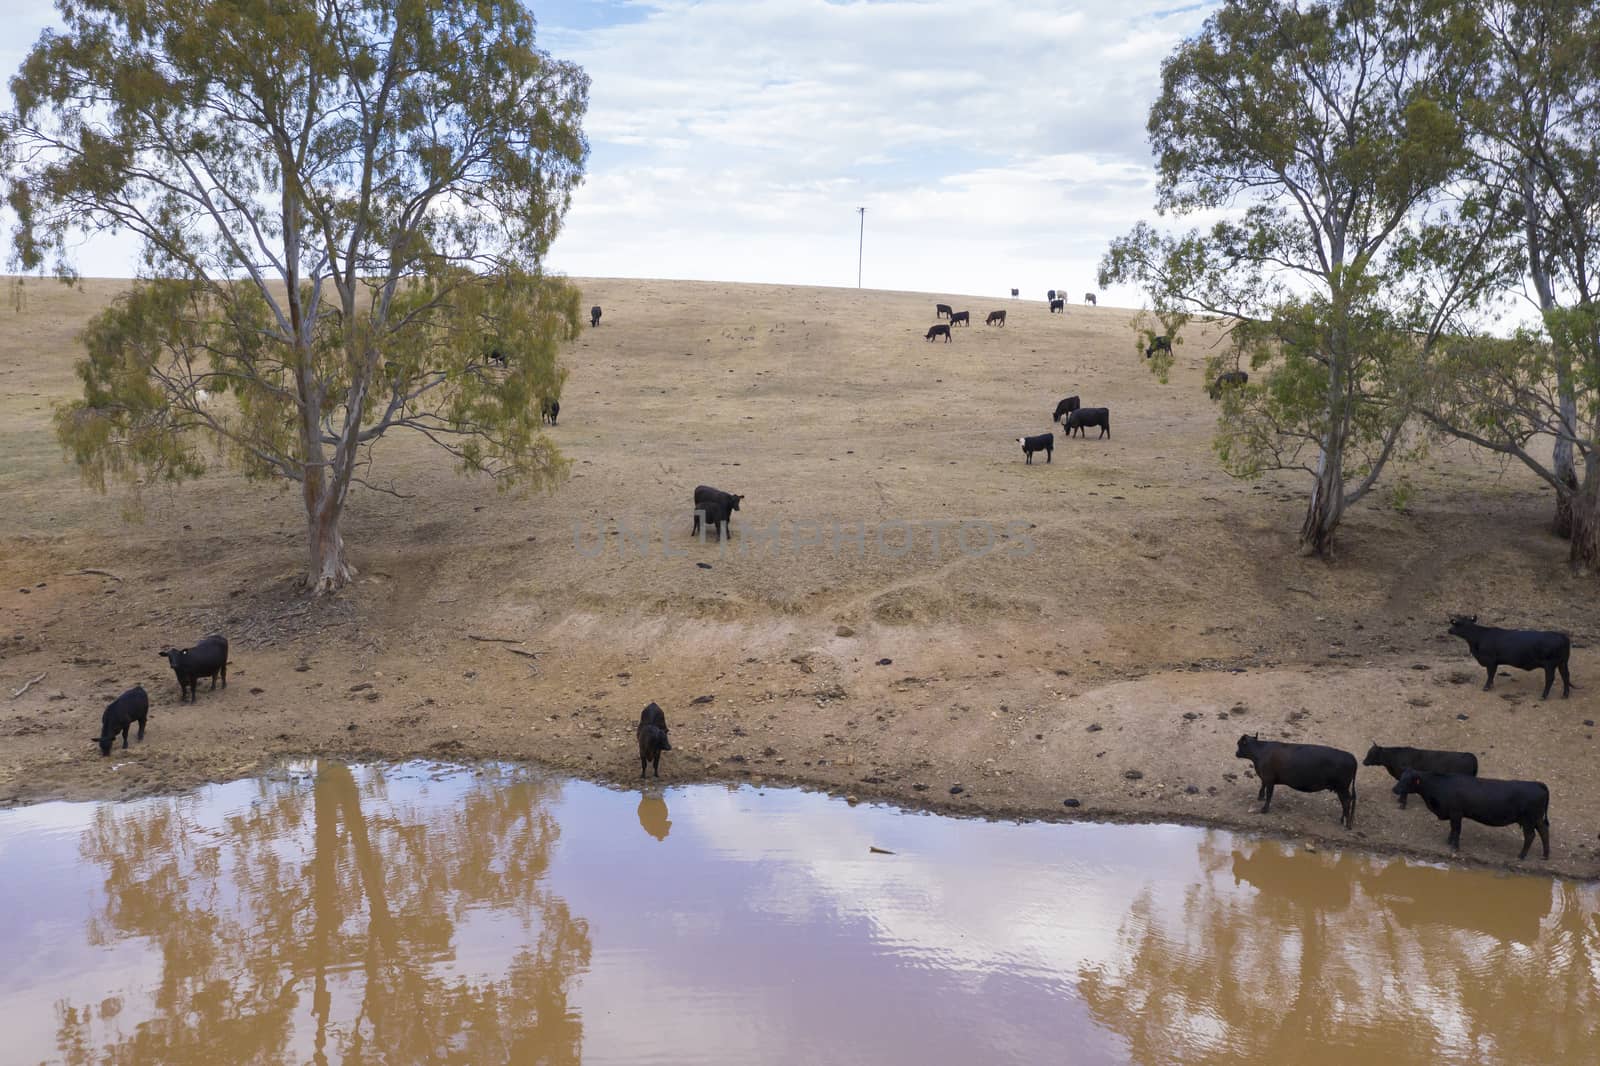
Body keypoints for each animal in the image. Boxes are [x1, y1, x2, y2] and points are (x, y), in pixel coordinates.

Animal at [1228, 736, 1356, 825]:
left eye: (1239, 744)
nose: (1236, 753)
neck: (1260, 752)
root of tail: (1352, 757)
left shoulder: (1269, 779)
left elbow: (1269, 794)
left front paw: (1264, 809)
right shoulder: (1265, 777)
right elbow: (1262, 786)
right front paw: (1260, 797)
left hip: (1342, 788)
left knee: (1346, 802)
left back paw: (1345, 822)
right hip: (1341, 789)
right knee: (1346, 801)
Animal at [1388, 765, 1548, 857]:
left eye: (1407, 780)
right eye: (1400, 778)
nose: (1394, 789)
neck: (1440, 785)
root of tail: (1538, 784)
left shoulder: (1456, 813)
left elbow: (1457, 829)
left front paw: (1455, 847)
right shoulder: (1453, 814)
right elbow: (1453, 829)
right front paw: (1448, 841)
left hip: (1528, 820)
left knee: (1530, 836)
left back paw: (1521, 856)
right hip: (1537, 819)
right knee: (1544, 832)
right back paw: (1545, 855)